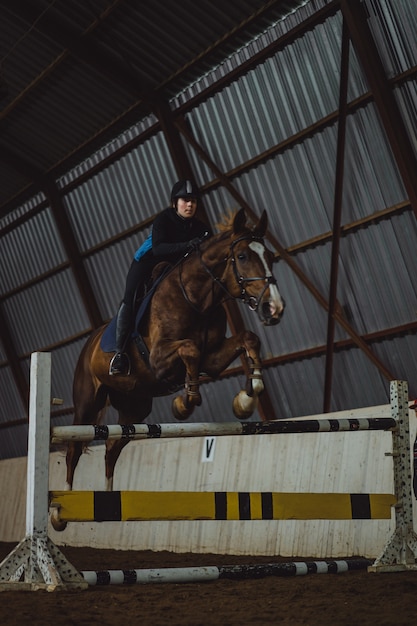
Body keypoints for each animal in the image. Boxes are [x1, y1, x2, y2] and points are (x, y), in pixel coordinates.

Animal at [49, 208, 282, 528]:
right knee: (73, 449)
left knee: (112, 448)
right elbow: (190, 349)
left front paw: (246, 398)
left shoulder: (212, 359)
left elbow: (248, 339)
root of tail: (88, 344)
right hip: (87, 402)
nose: (275, 308)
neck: (197, 299)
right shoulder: (159, 360)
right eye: (243, 256)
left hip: (135, 407)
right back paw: (61, 510)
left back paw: (107, 502)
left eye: (270, 255)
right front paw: (185, 402)